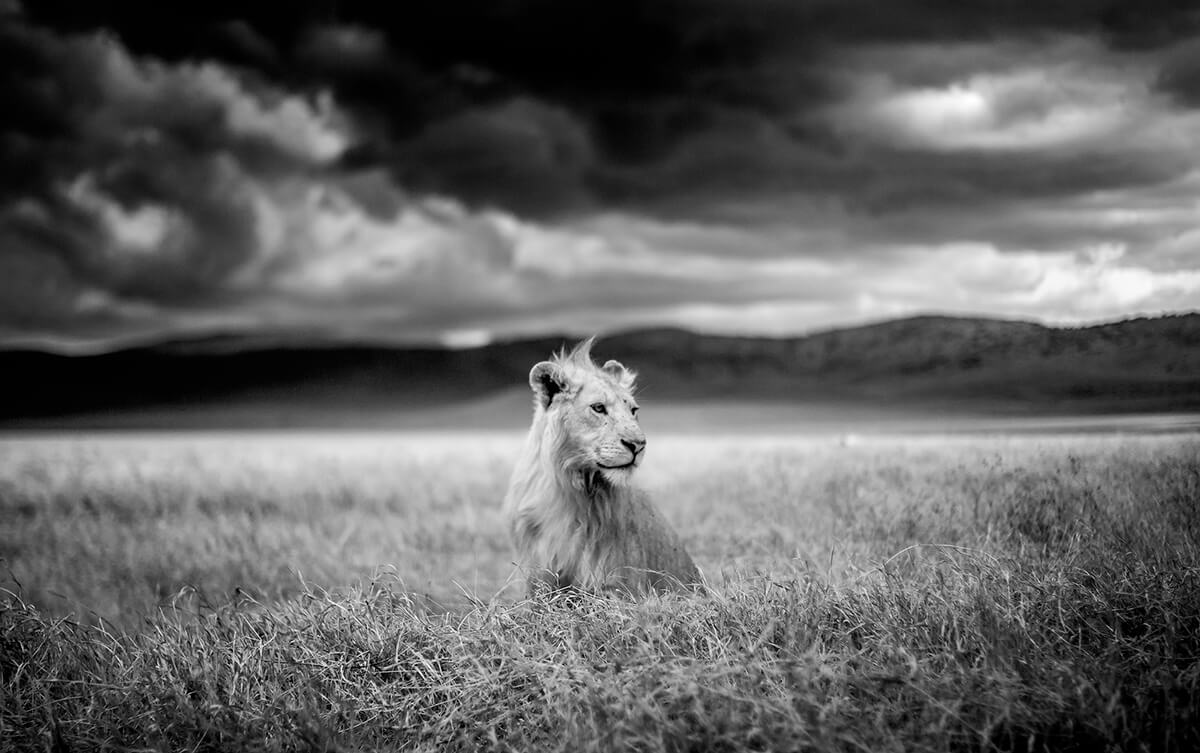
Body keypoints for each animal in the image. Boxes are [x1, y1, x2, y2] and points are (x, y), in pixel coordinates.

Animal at [499, 338, 700, 597]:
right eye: (598, 408)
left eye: (633, 410)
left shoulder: (616, 579)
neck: (571, 488)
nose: (638, 445)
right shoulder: (536, 572)